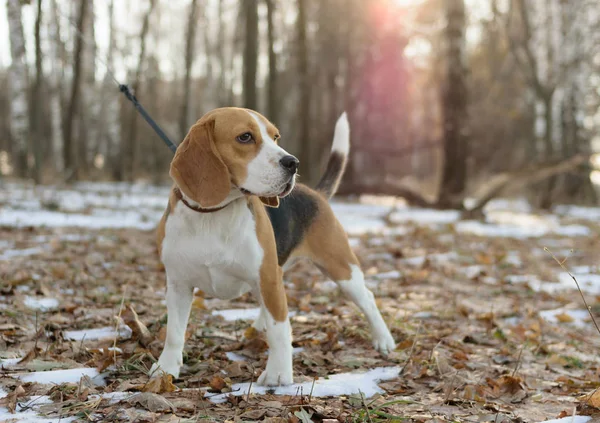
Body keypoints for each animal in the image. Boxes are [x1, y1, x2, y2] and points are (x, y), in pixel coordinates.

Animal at [151, 107, 394, 386]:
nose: (293, 163)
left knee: (368, 299)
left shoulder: (267, 277)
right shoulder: (178, 284)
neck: (213, 215)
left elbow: (280, 330)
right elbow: (174, 332)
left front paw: (279, 374)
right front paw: (166, 368)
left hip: (341, 268)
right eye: (245, 137)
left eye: (275, 137)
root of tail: (316, 193)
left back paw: (384, 339)